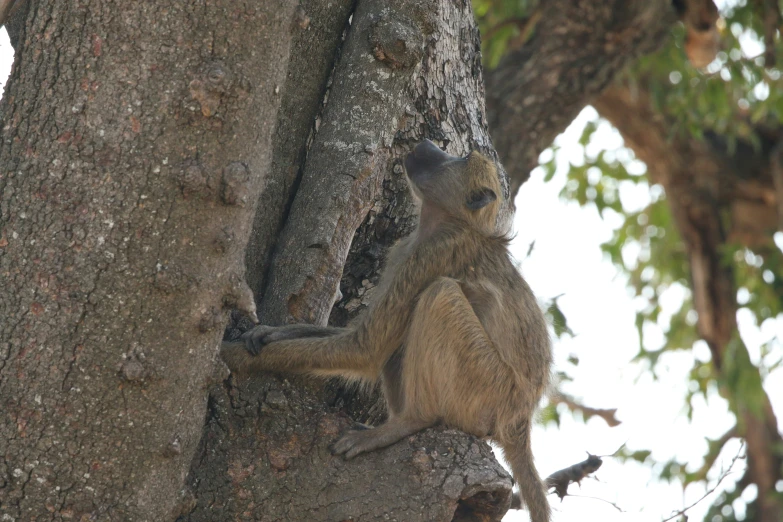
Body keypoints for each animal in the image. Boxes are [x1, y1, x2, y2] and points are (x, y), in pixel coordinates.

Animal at [219, 139, 552, 520]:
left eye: (462, 157)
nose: (427, 144)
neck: (450, 221)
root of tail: (520, 419)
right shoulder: (403, 250)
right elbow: (366, 338)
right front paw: (271, 333)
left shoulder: (432, 252)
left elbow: (365, 348)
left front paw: (229, 355)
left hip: (488, 390)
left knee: (438, 295)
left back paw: (407, 423)